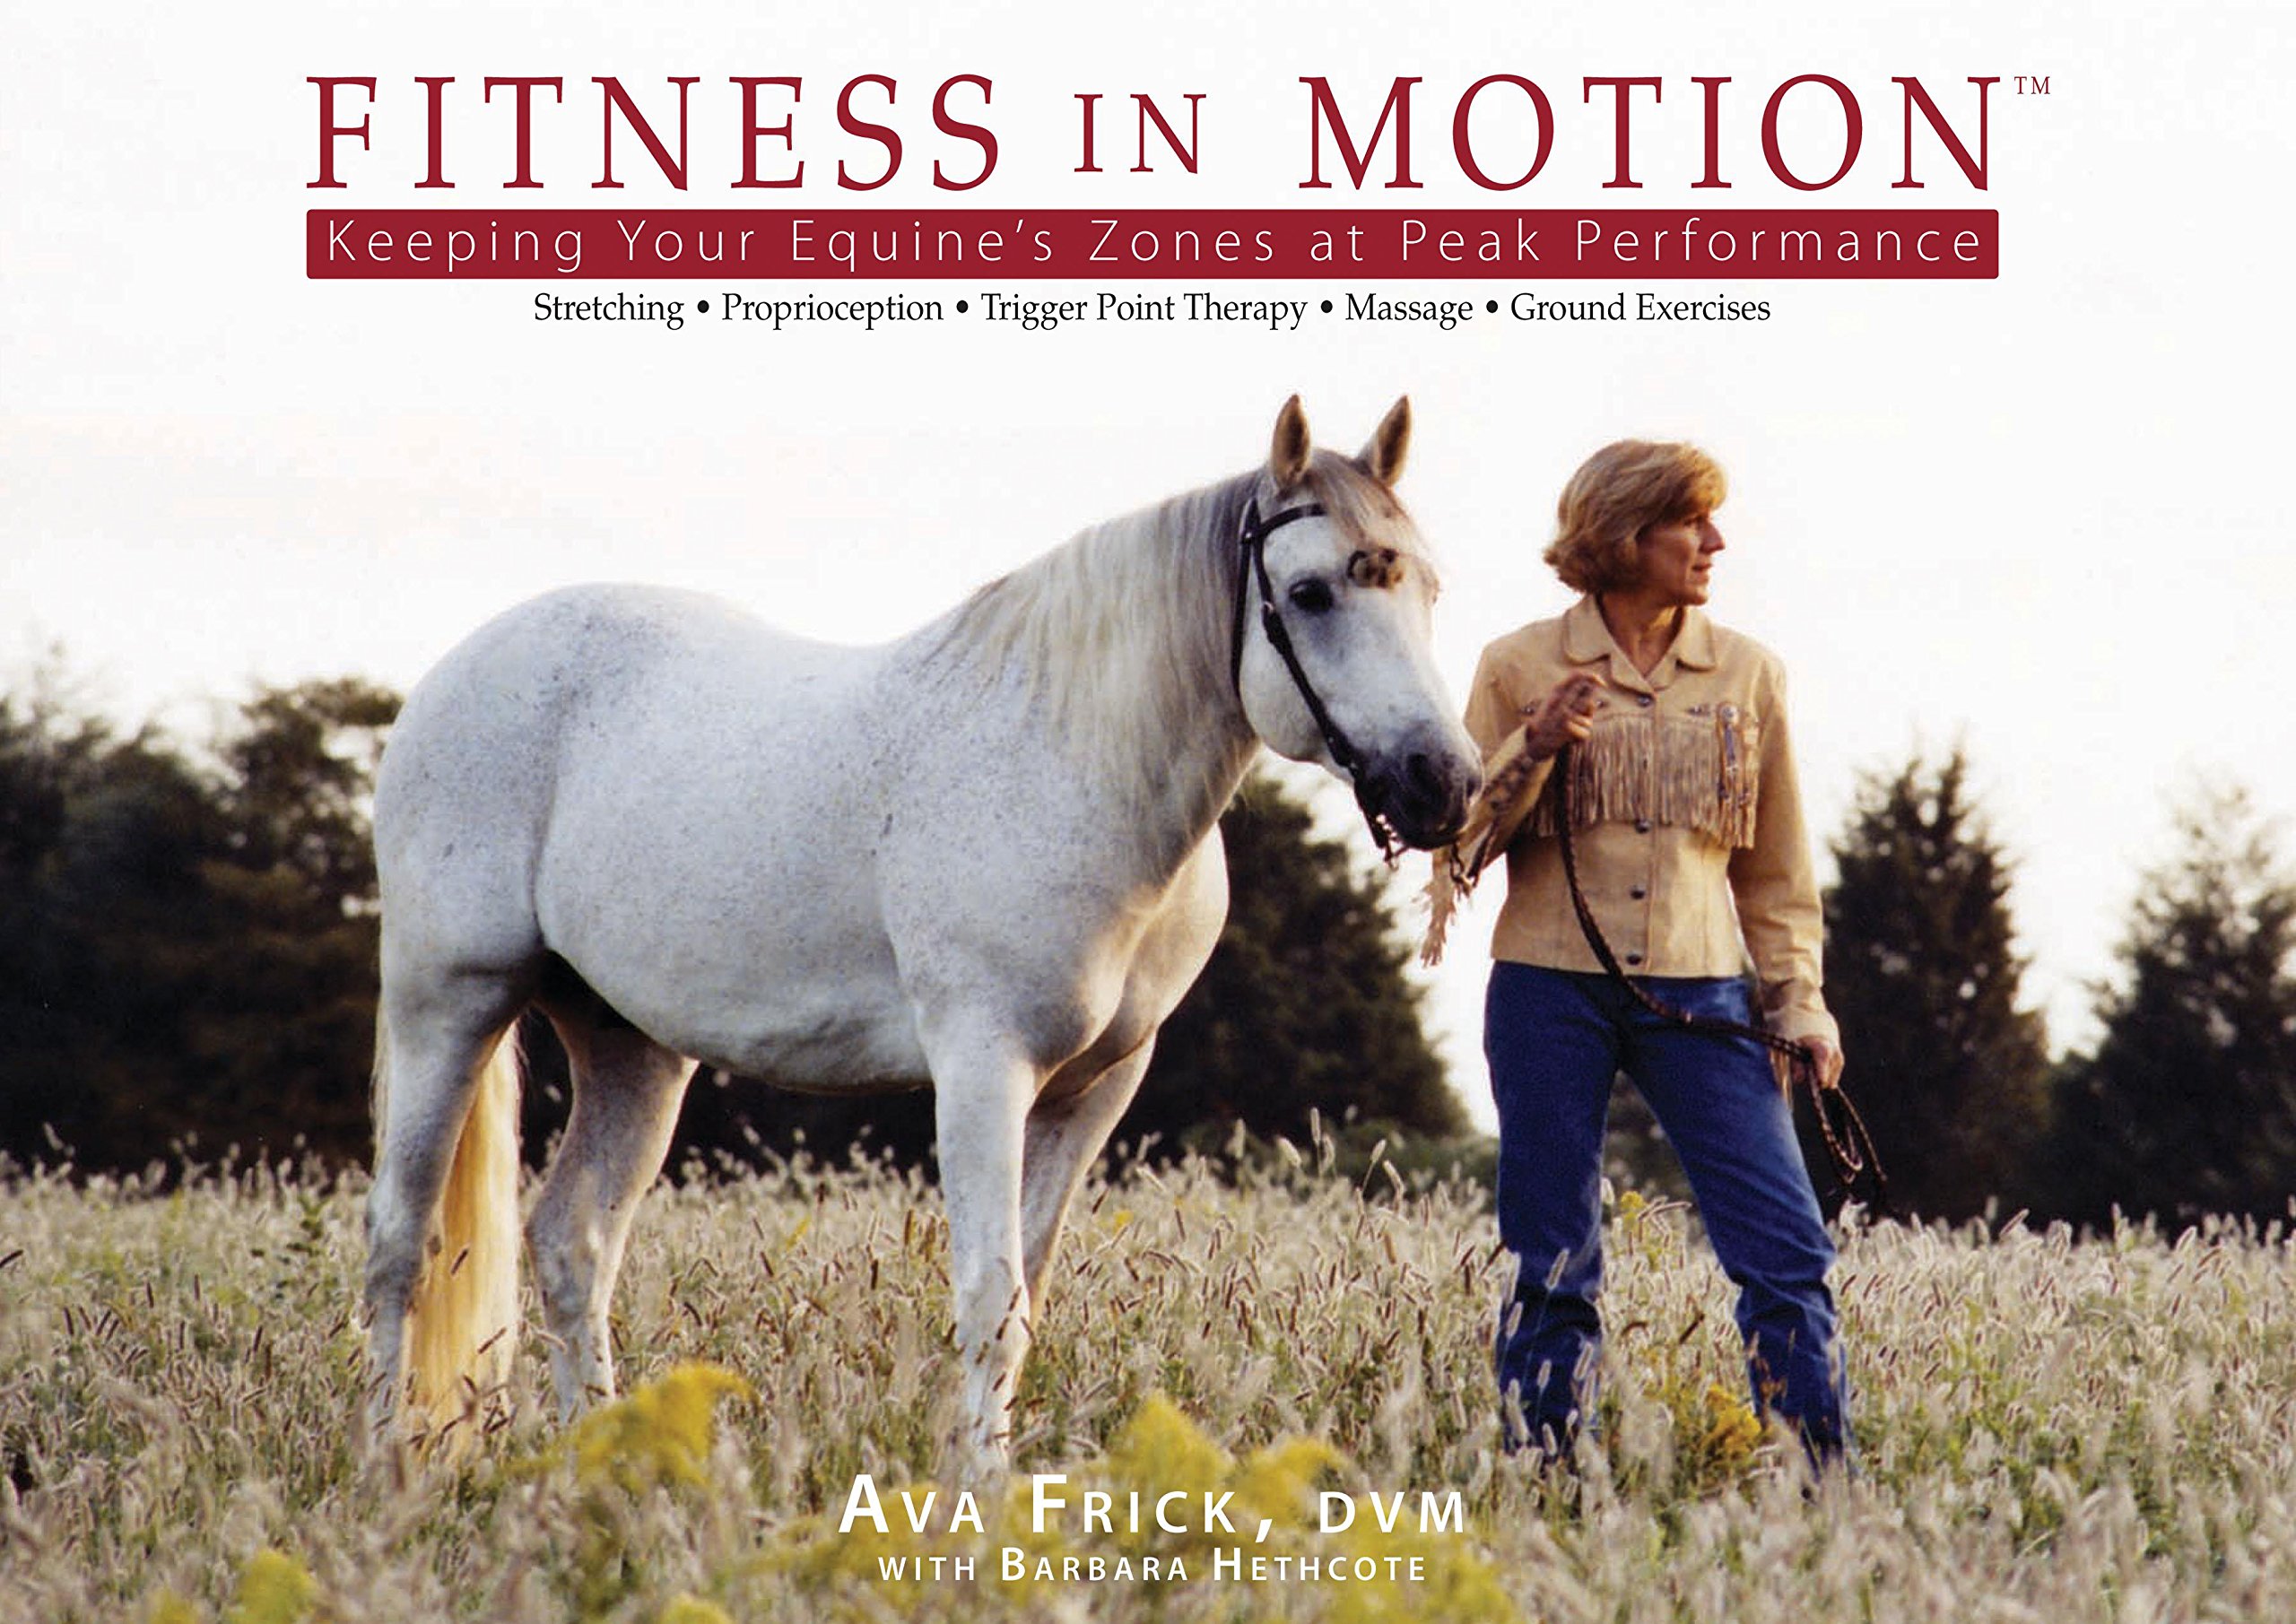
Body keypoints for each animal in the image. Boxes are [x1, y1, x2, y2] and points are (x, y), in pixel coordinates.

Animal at [362, 395, 1481, 1473]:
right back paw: (389, 1471)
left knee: (572, 1241)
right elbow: (992, 1297)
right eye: (1311, 593)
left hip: (631, 1046)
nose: (1445, 781)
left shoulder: (1096, 1088)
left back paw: (605, 1468)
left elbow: (1028, 1289)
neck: (1076, 754)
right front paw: (979, 1497)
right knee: (398, 1244)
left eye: (1429, 587)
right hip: (449, 1003)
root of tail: (453, 674)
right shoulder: (985, 1065)